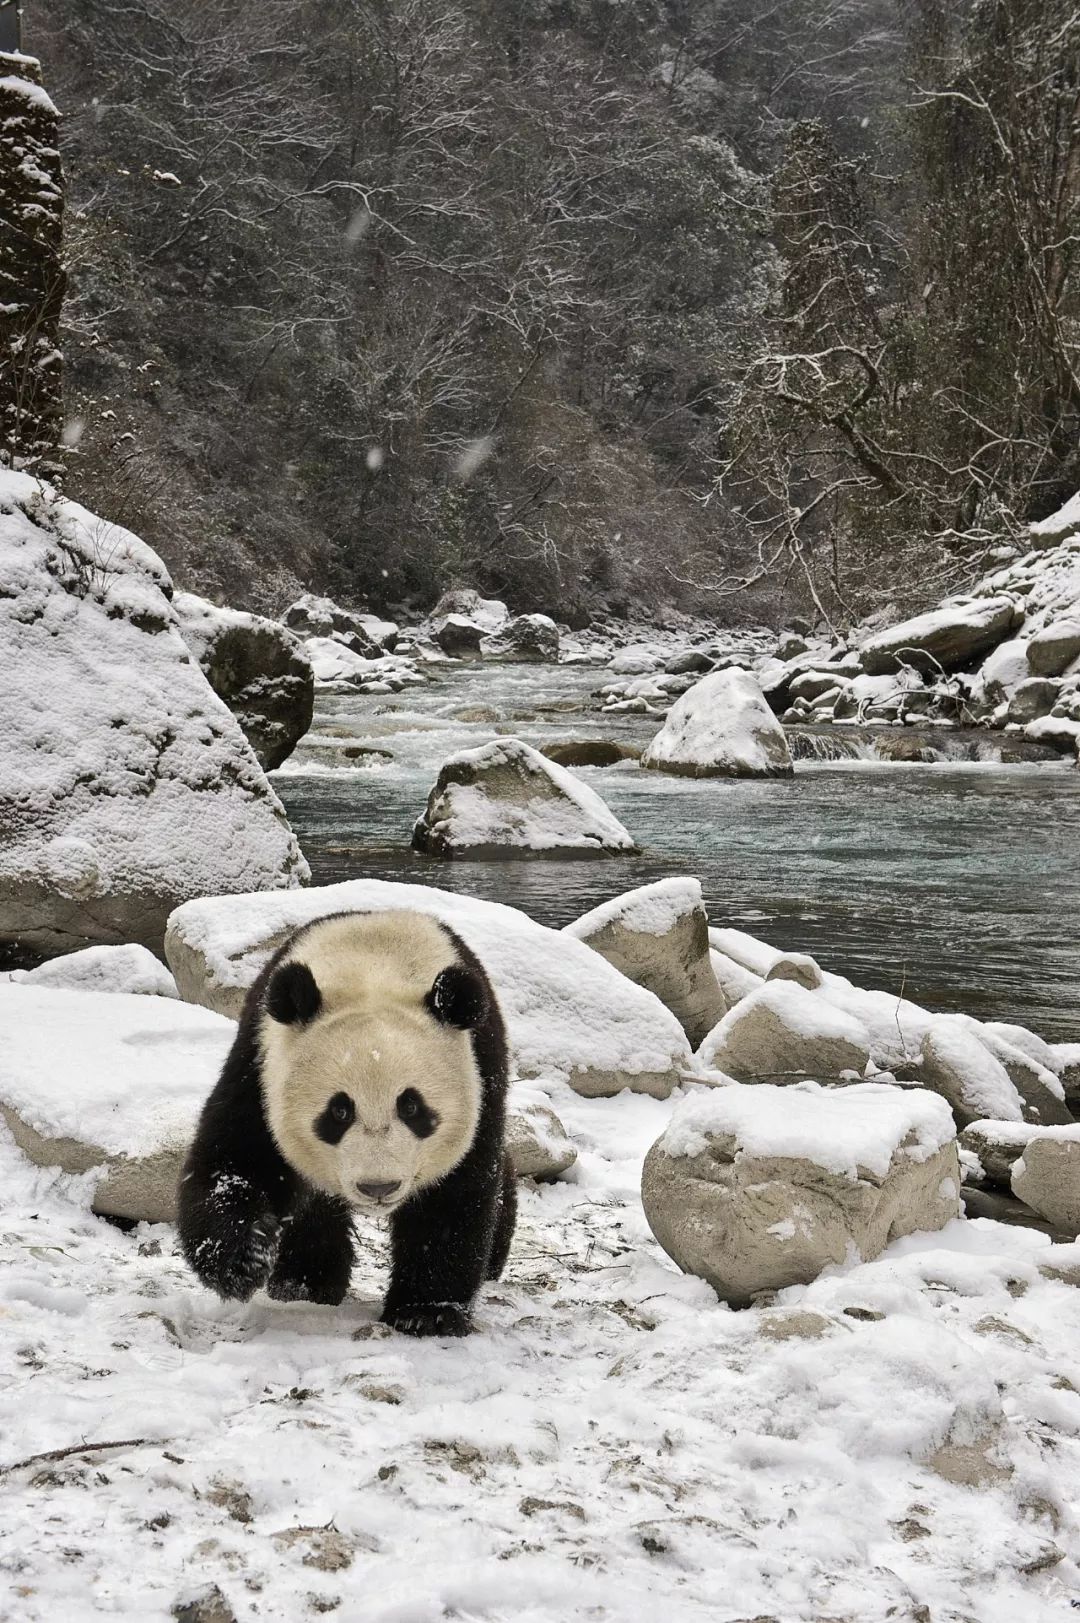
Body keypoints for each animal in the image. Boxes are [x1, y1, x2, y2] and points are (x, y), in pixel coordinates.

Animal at [177, 908, 513, 1337]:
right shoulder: (260, 1063)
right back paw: (304, 1282)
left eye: (412, 1108)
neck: (373, 965)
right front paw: (245, 1258)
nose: (378, 1187)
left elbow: (453, 1199)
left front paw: (427, 1314)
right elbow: (237, 1159)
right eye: (339, 1112)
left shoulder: (480, 1070)